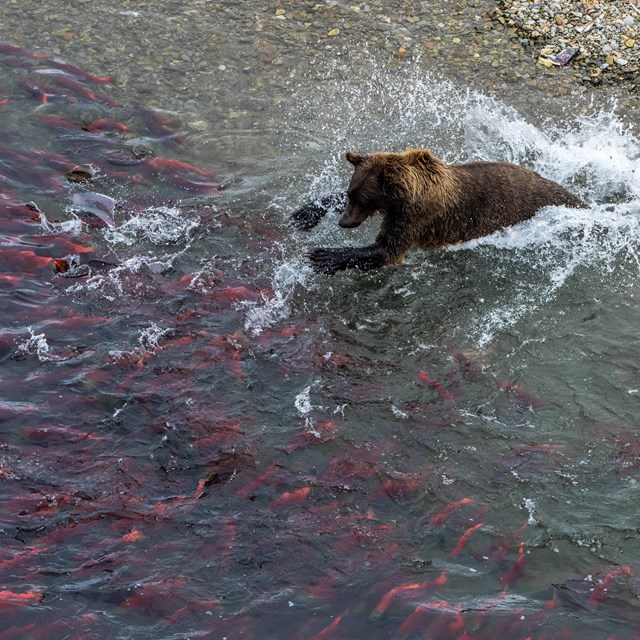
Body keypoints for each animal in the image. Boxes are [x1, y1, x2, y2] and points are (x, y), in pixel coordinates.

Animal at [291, 149, 587, 274]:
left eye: (363, 199)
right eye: (352, 194)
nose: (343, 223)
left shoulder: (416, 215)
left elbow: (388, 248)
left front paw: (324, 256)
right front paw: (306, 214)